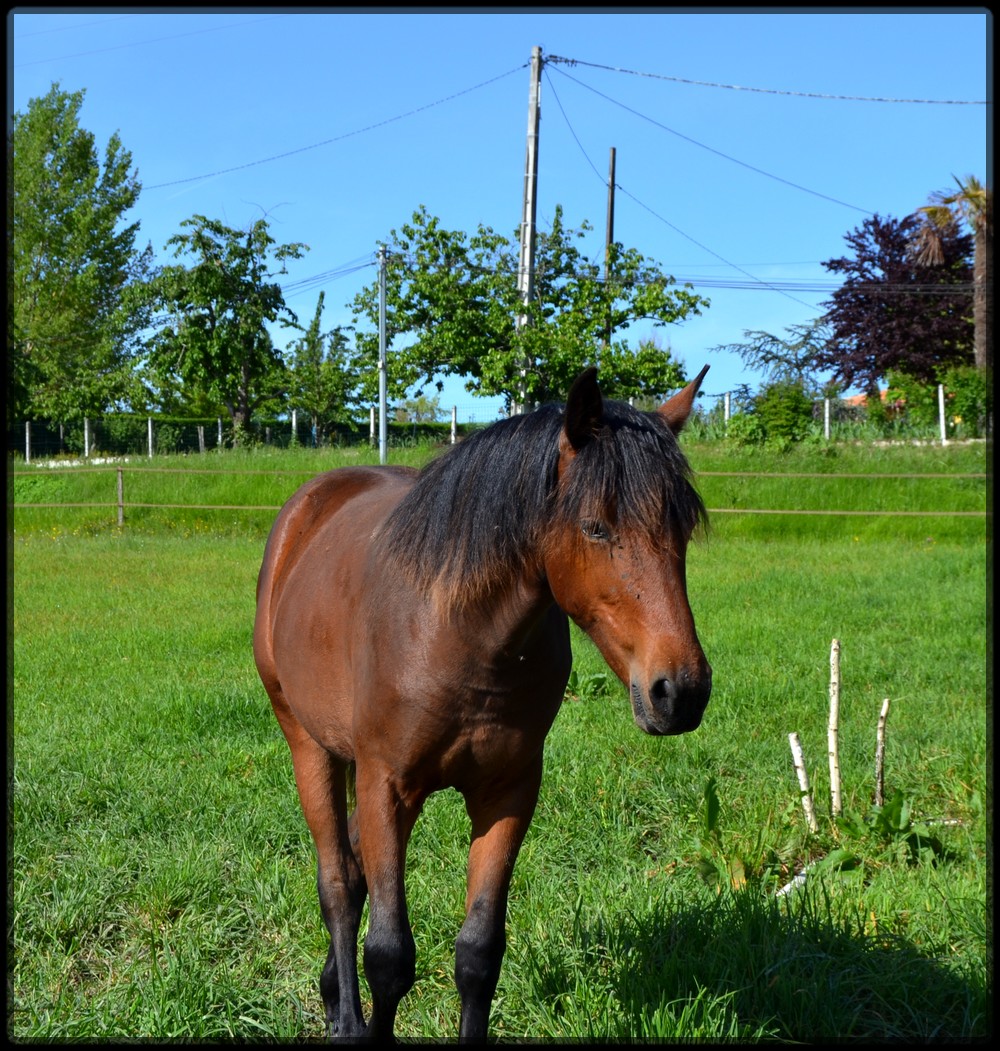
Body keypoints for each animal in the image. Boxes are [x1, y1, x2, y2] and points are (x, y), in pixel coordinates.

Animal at [254, 365, 715, 1038]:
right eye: (595, 526)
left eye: (681, 530)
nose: (680, 691)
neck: (458, 632)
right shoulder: (386, 786)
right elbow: (388, 955)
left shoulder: (508, 791)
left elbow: (478, 953)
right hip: (310, 746)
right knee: (338, 884)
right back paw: (345, 1018)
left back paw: (331, 992)